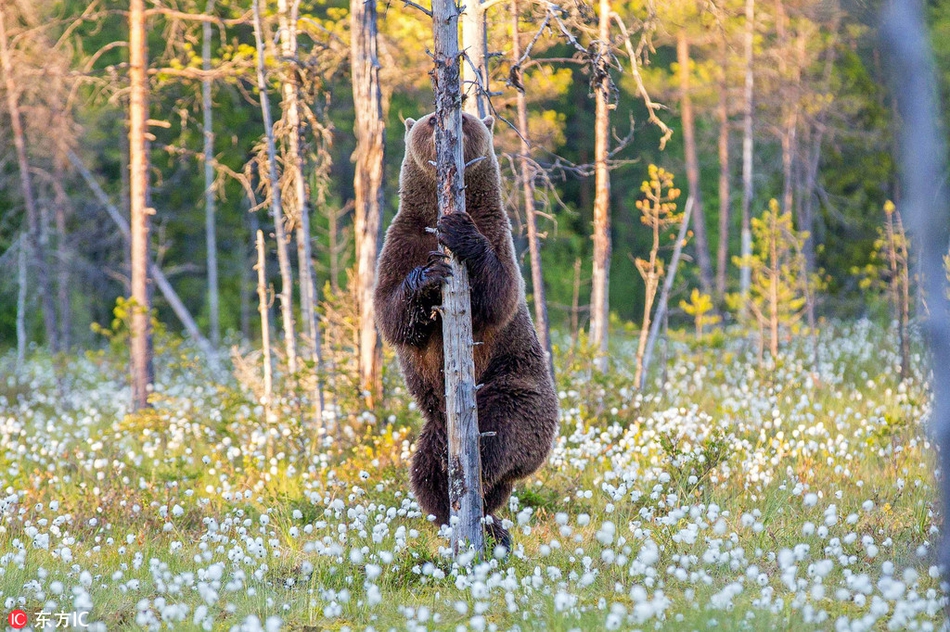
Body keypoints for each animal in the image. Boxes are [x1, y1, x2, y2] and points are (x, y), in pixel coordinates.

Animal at [376, 111, 560, 544]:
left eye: (466, 115)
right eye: (430, 119)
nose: (448, 118)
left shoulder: (497, 231)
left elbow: (500, 294)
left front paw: (459, 232)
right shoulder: (401, 240)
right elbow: (389, 312)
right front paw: (428, 276)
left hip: (516, 393)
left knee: (498, 439)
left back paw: (483, 512)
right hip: (437, 423)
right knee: (425, 470)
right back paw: (460, 515)